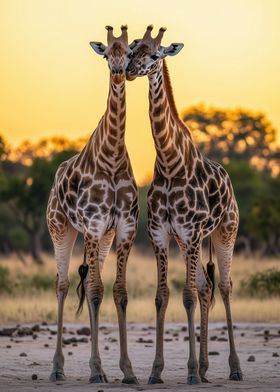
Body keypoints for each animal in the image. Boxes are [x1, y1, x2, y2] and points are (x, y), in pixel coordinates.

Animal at [47, 25, 140, 386]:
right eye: (106, 54)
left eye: (128, 52)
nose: (118, 72)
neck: (111, 158)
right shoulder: (92, 225)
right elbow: (97, 289)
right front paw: (98, 369)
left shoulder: (123, 228)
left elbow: (118, 291)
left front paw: (128, 370)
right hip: (61, 229)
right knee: (61, 285)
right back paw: (57, 368)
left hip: (100, 238)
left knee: (88, 285)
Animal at [127, 26, 243, 384]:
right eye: (133, 49)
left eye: (155, 54)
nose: (129, 70)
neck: (169, 164)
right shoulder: (161, 234)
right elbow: (162, 296)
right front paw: (156, 371)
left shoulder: (191, 233)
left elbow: (188, 296)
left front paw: (189, 371)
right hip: (188, 241)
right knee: (206, 287)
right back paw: (205, 368)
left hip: (225, 231)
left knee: (224, 286)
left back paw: (233, 368)